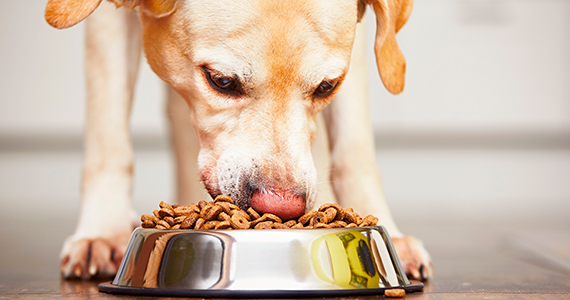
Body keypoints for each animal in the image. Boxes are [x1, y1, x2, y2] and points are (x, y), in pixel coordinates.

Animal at [46, 0, 430, 282]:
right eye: (221, 81)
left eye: (326, 86)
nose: (281, 207)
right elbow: (108, 132)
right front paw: (102, 232)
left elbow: (355, 147)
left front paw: (386, 232)